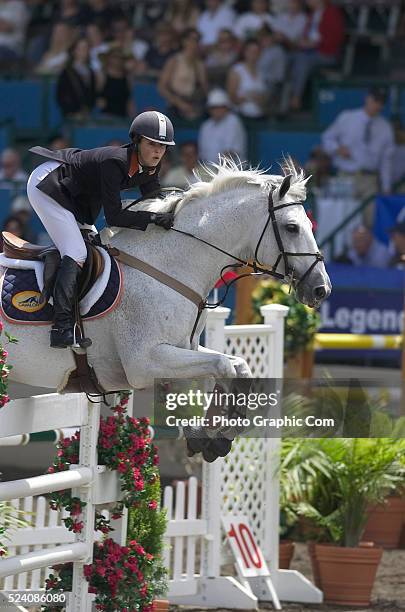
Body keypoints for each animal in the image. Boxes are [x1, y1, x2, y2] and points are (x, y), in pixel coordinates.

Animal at [3, 158, 330, 460]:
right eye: (292, 228)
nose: (321, 289)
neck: (168, 265)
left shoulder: (184, 347)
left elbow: (239, 366)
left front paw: (221, 433)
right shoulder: (145, 362)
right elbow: (222, 367)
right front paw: (206, 435)